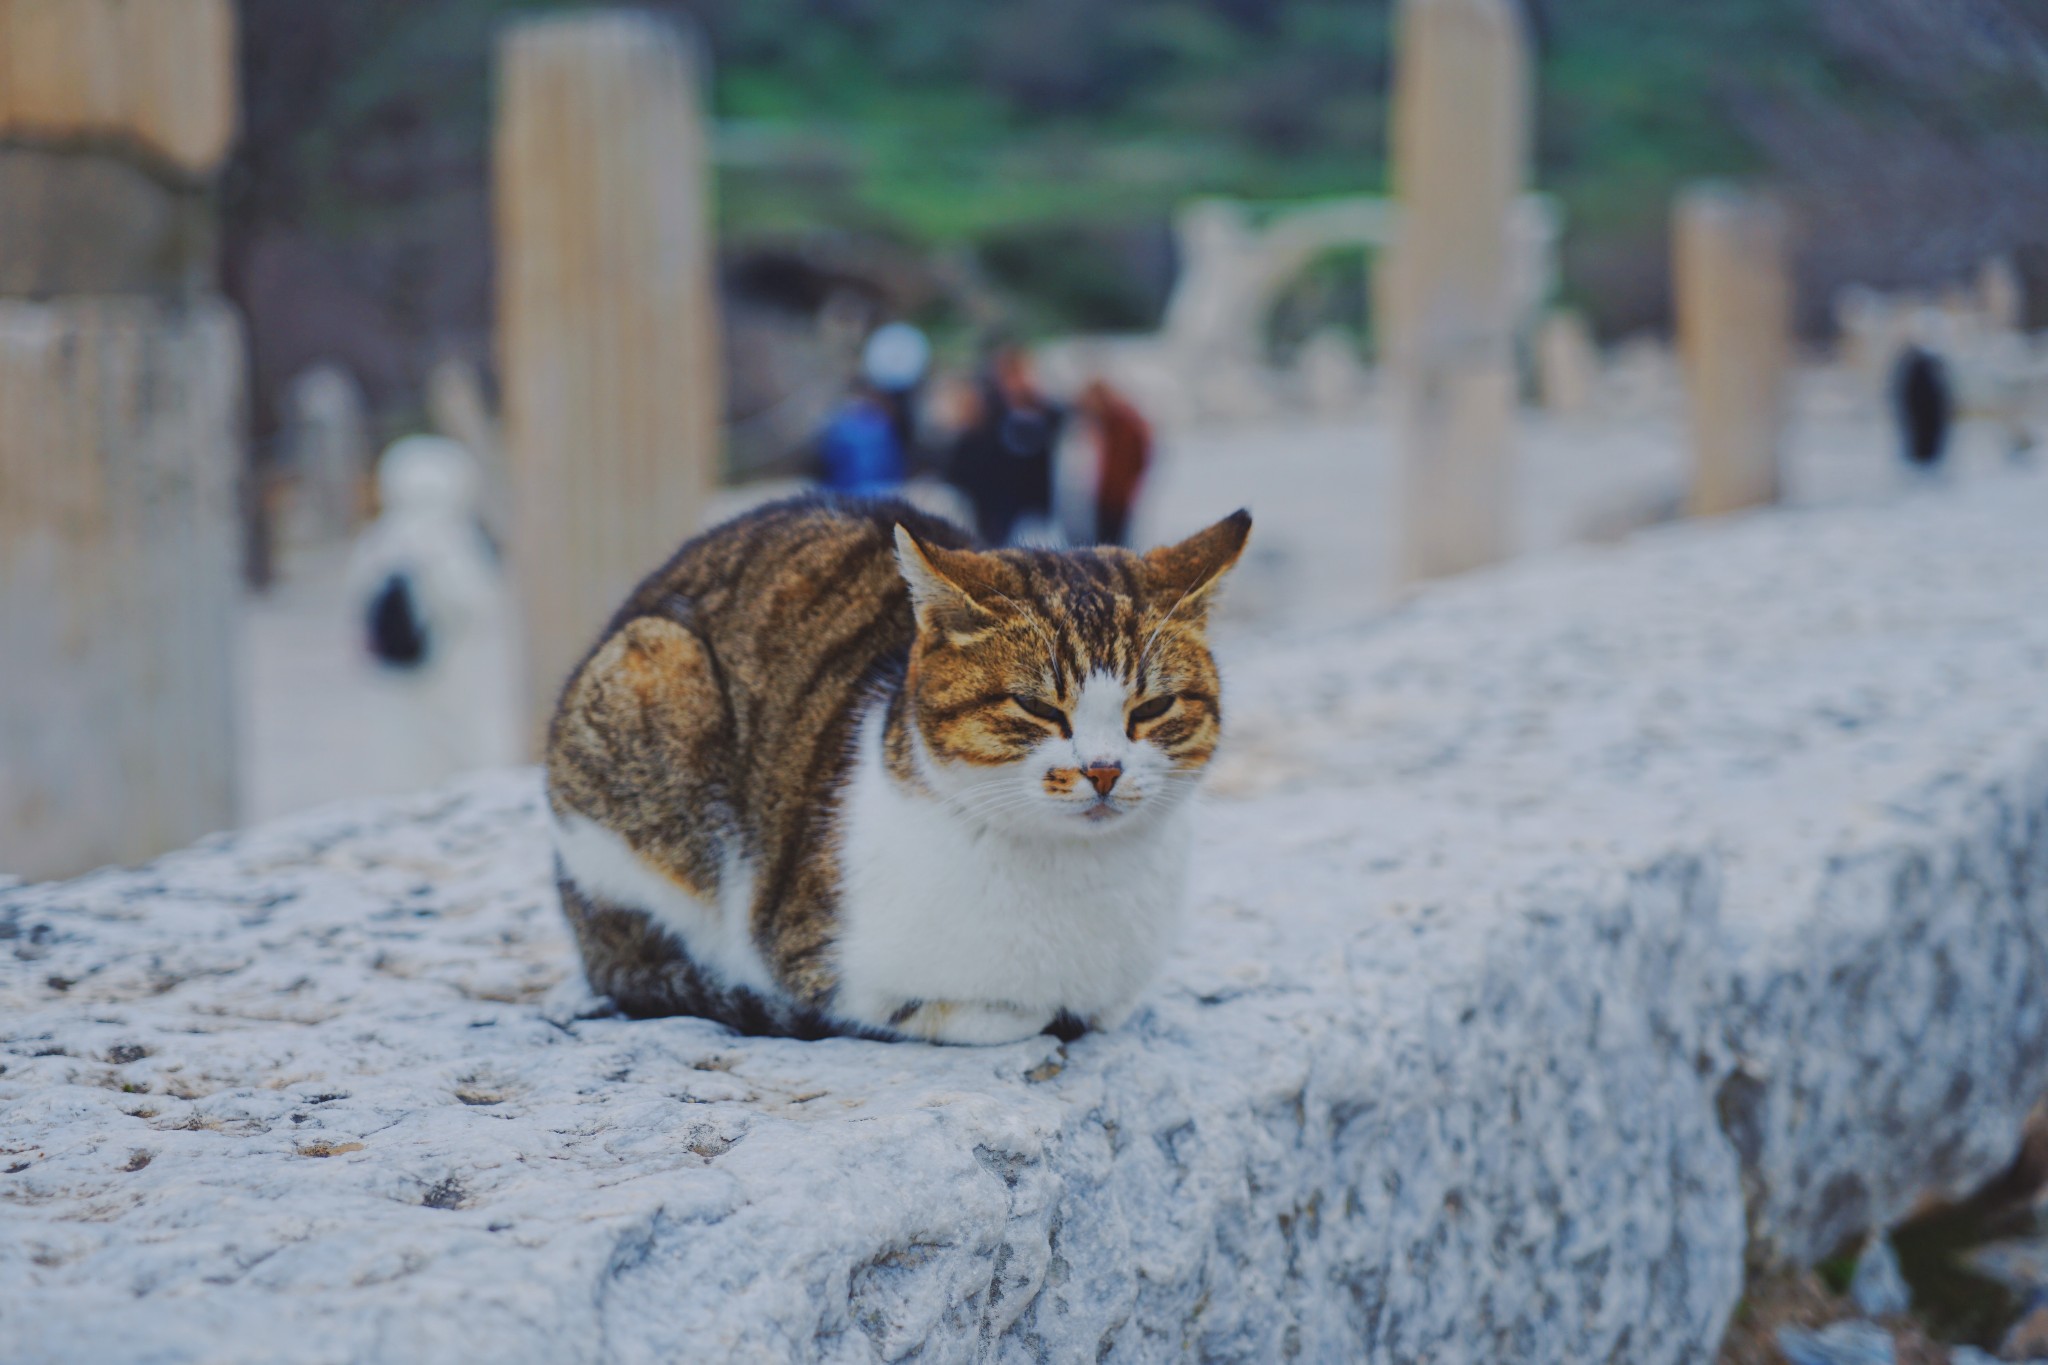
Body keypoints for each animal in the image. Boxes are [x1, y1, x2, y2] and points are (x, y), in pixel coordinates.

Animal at [548, 497, 1245, 1039]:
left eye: (1152, 707)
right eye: (1038, 707)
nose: (1103, 771)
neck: (1082, 874)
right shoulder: (816, 960)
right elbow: (980, 1013)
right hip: (654, 675)